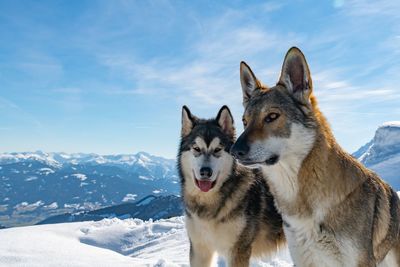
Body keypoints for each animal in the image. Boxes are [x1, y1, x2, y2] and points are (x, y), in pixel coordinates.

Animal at [178, 105, 284, 266]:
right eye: (196, 149)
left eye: (217, 149)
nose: (205, 172)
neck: (209, 205)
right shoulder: (199, 248)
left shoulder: (238, 250)